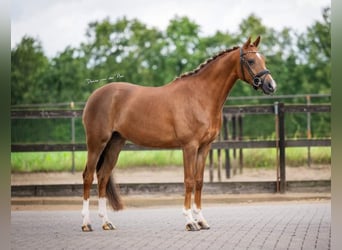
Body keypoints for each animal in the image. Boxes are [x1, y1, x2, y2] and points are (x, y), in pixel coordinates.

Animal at [80, 36, 276, 231]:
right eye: (251, 60)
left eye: (264, 59)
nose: (271, 85)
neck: (200, 96)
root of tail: (95, 95)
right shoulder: (189, 146)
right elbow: (188, 180)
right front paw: (190, 221)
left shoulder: (205, 147)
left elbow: (199, 181)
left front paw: (201, 220)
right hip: (96, 143)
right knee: (88, 176)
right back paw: (86, 223)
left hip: (115, 143)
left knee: (103, 176)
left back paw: (106, 222)